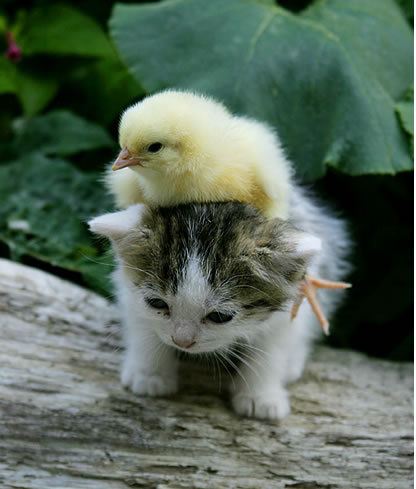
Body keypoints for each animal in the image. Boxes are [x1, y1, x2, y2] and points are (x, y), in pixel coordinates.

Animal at [89, 187, 350, 420]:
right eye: (157, 303)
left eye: (220, 317)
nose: (182, 342)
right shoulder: (130, 292)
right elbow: (142, 324)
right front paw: (149, 375)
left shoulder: (290, 307)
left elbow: (272, 346)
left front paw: (260, 397)